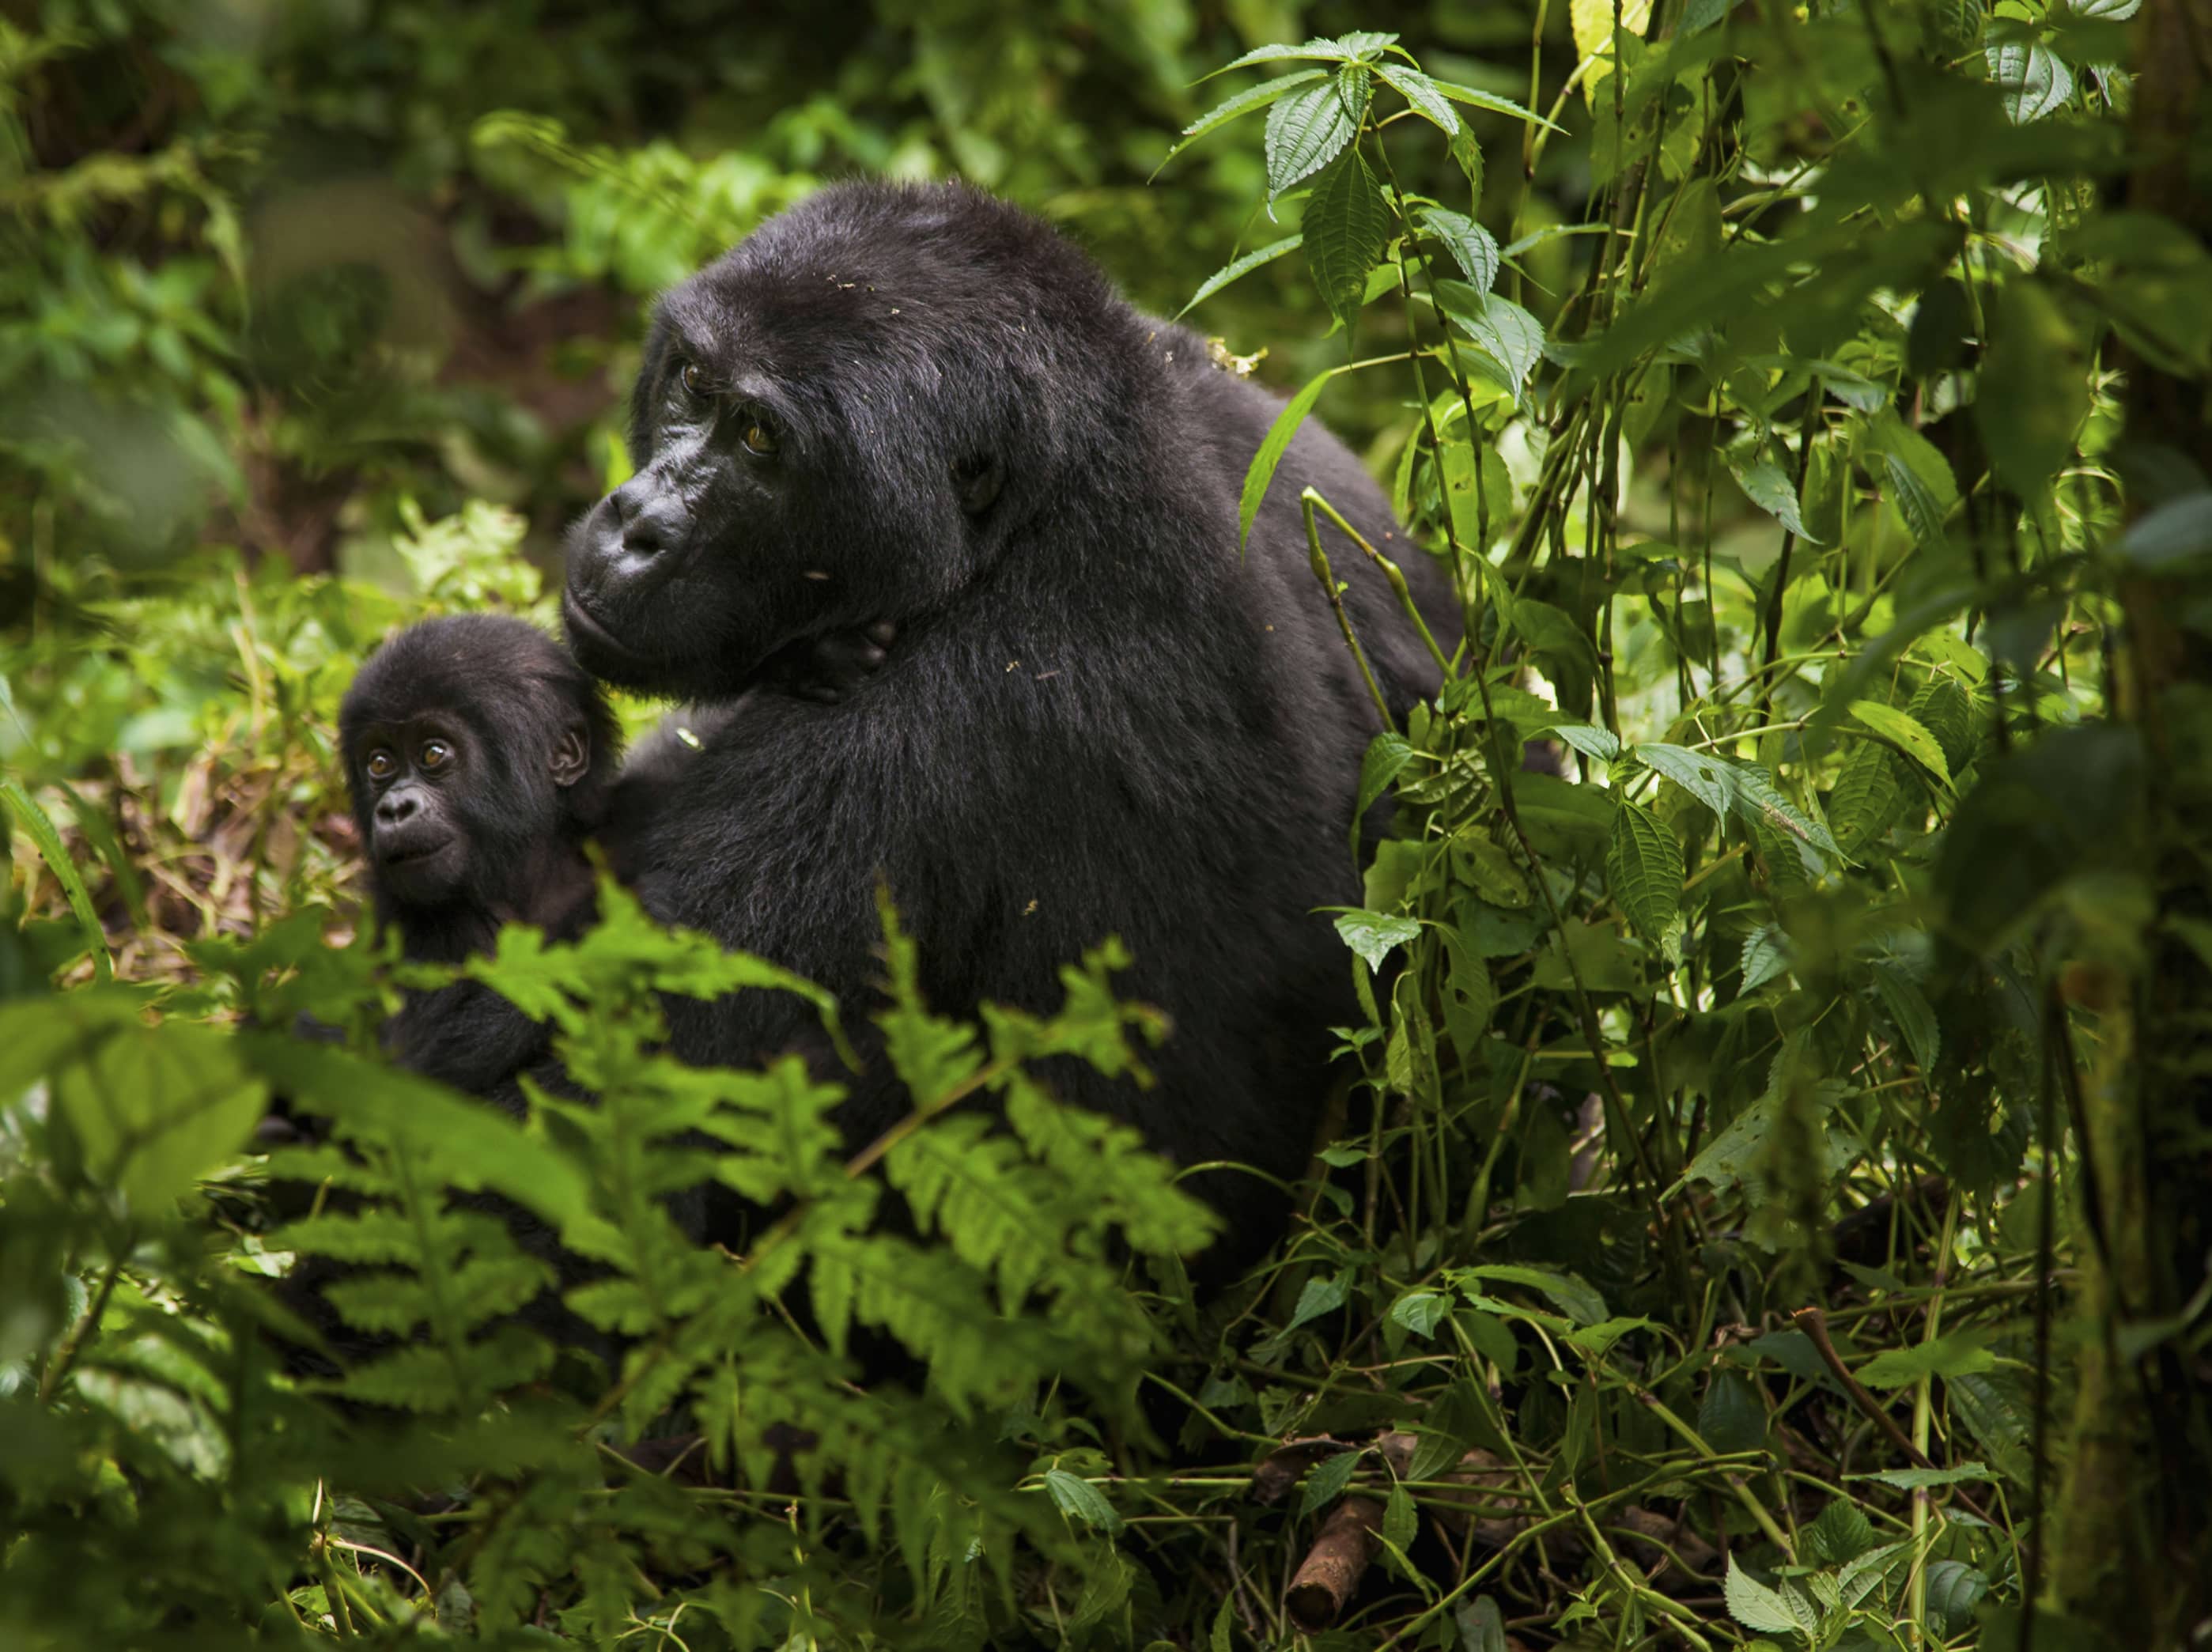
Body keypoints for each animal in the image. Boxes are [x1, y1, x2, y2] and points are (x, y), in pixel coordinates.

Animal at [575, 181, 1450, 1256]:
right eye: (692, 384)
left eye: (758, 439)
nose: (635, 526)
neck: (1048, 503)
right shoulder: (1260, 428)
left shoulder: (931, 730)